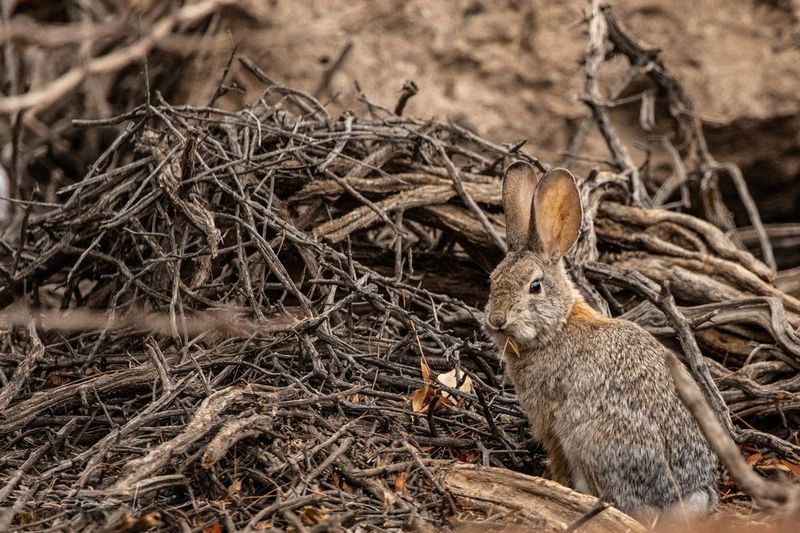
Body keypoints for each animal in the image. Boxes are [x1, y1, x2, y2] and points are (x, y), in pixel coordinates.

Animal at [483, 161, 718, 521]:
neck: (559, 326)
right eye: (492, 281)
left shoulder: (550, 420)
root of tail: (684, 501)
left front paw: (553, 479)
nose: (496, 320)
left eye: (534, 286)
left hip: (590, 440)